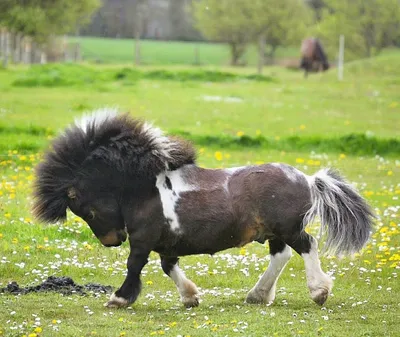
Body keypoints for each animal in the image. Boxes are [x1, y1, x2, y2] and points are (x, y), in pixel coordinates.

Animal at [32, 109, 376, 308]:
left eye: (87, 211)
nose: (112, 240)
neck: (143, 189)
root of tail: (308, 179)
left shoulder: (143, 239)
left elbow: (135, 265)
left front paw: (119, 298)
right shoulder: (166, 243)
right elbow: (168, 267)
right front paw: (190, 297)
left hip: (289, 228)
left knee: (307, 246)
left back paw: (318, 292)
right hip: (275, 232)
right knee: (281, 256)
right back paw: (257, 296)